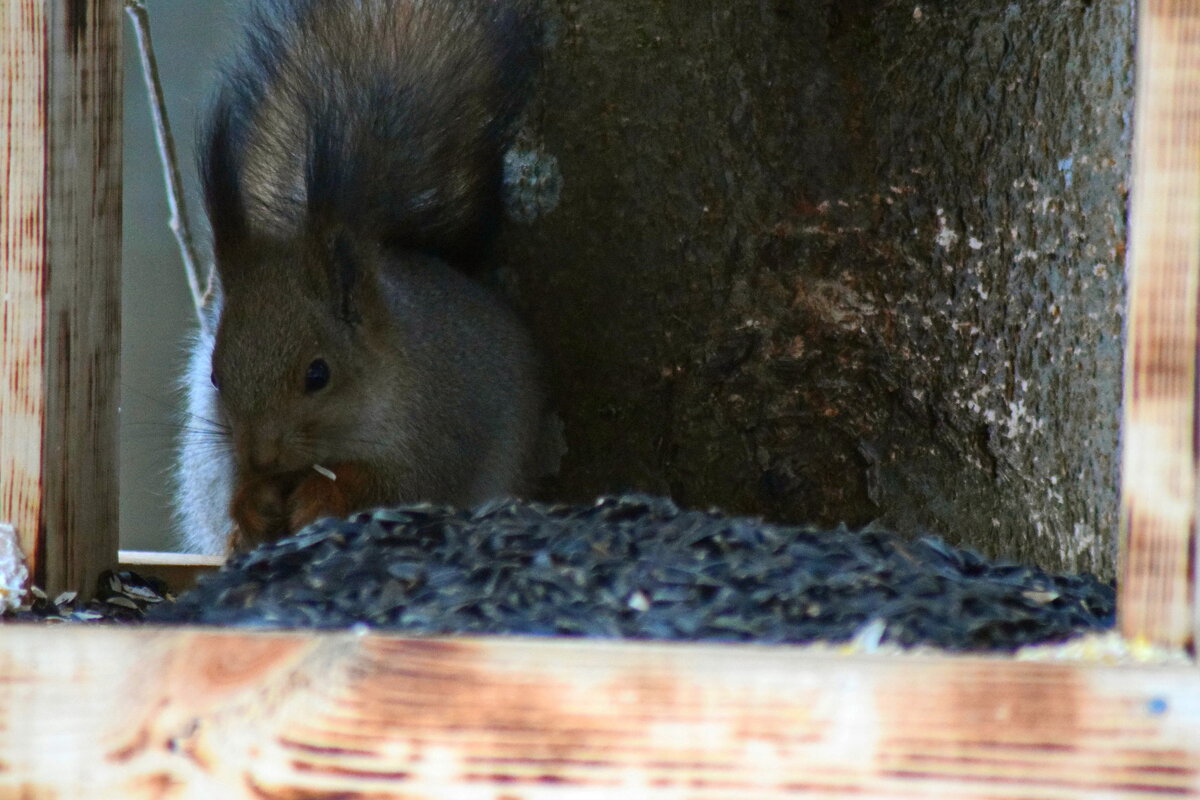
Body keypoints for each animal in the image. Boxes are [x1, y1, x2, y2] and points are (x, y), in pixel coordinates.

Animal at [174, 0, 549, 554]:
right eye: (216, 376)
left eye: (318, 374)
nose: (261, 456)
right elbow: (235, 492)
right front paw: (253, 504)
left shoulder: (434, 441)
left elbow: (386, 486)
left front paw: (319, 498)